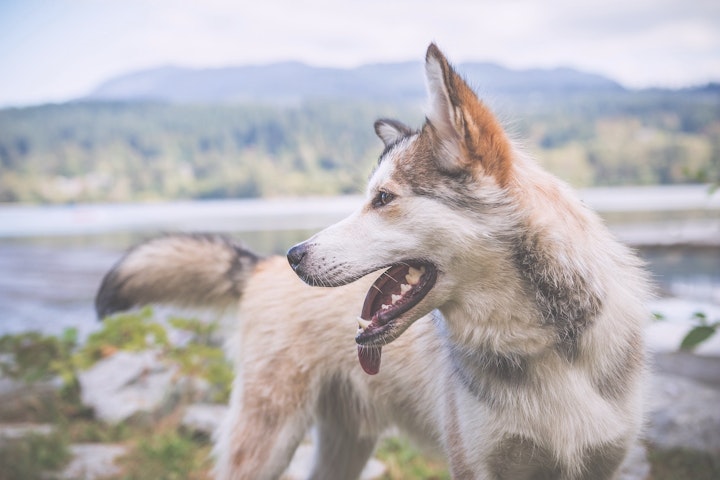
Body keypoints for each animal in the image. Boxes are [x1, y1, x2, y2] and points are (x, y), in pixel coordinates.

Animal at [93, 43, 648, 478]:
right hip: (267, 441)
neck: (547, 349)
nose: (296, 255)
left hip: (343, 446)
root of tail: (259, 265)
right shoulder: (475, 466)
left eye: (382, 199)